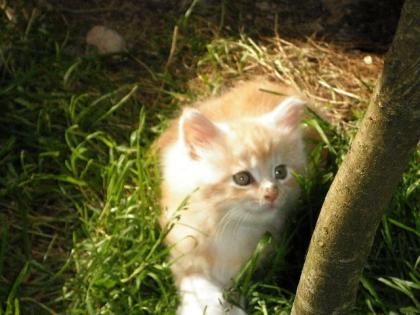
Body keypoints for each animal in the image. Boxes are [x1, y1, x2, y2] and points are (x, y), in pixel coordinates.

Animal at [156, 80, 306, 314]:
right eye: (242, 178)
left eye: (280, 172)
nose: (272, 193)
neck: (230, 228)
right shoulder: (183, 251)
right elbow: (199, 288)